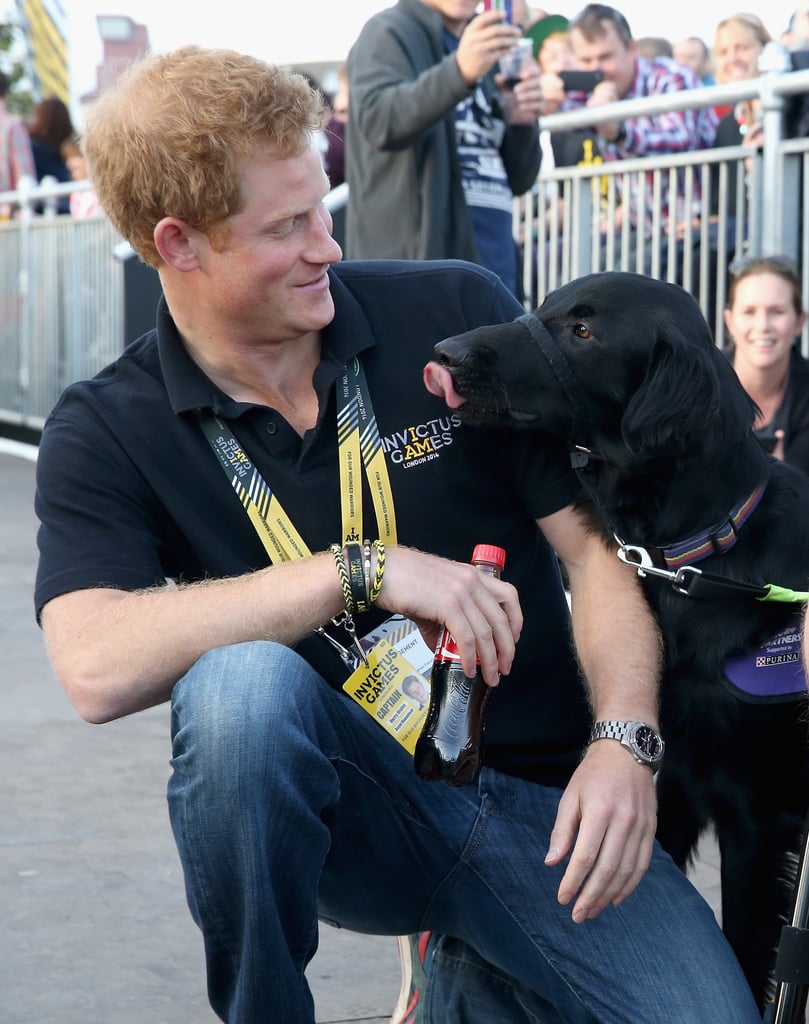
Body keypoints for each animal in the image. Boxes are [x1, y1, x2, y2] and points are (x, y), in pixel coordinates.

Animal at [423, 272, 809, 1007]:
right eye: (545, 309)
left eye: (583, 332)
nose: (445, 352)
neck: (700, 557)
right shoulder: (671, 781)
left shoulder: (757, 812)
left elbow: (751, 951)